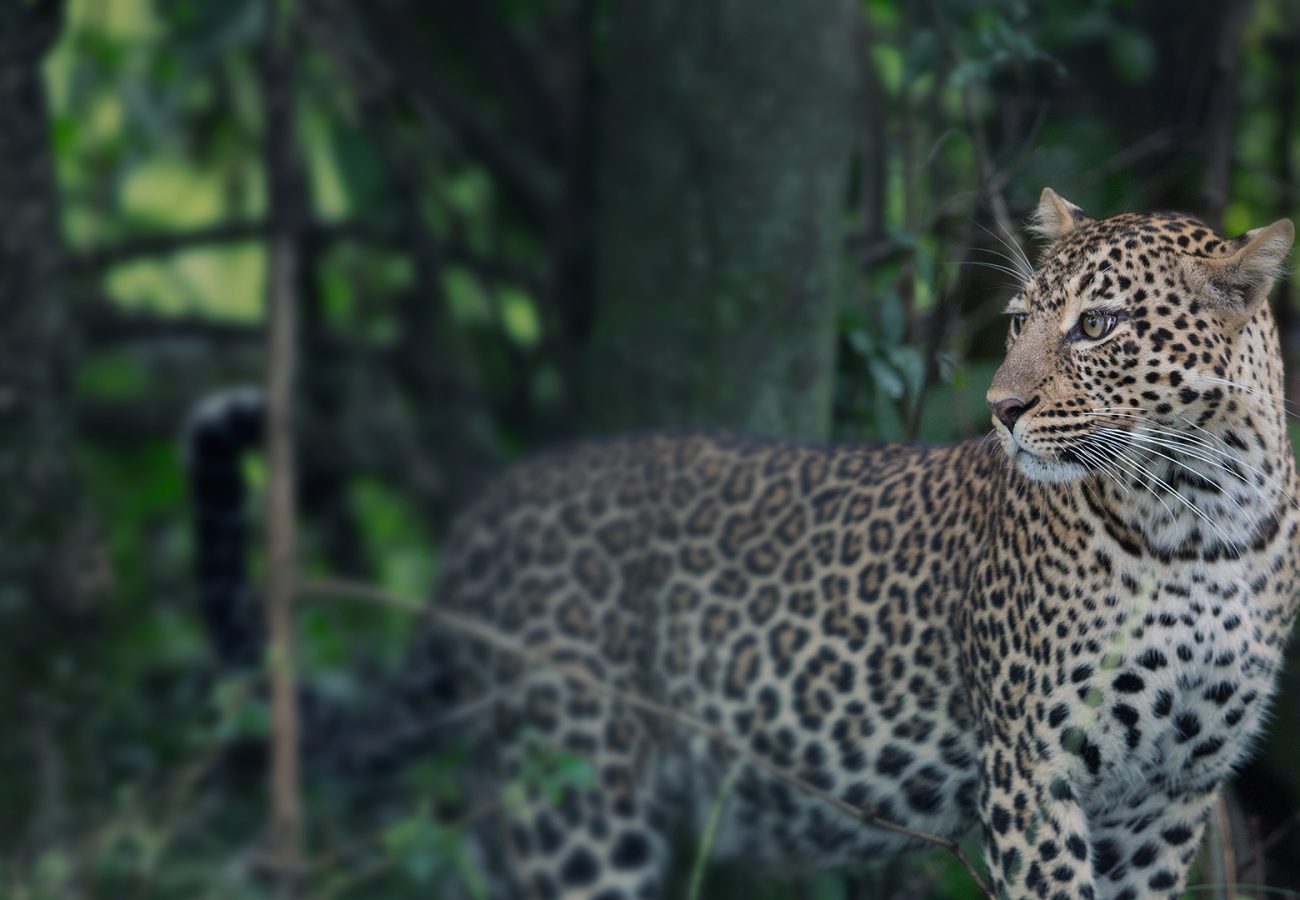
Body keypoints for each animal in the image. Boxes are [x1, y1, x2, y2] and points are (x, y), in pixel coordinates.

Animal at [188, 188, 1294, 894]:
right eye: (1022, 319)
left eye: (1098, 326)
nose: (1001, 409)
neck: (1202, 517)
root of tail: (489, 510)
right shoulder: (1035, 775)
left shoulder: (1170, 798)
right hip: (576, 794)